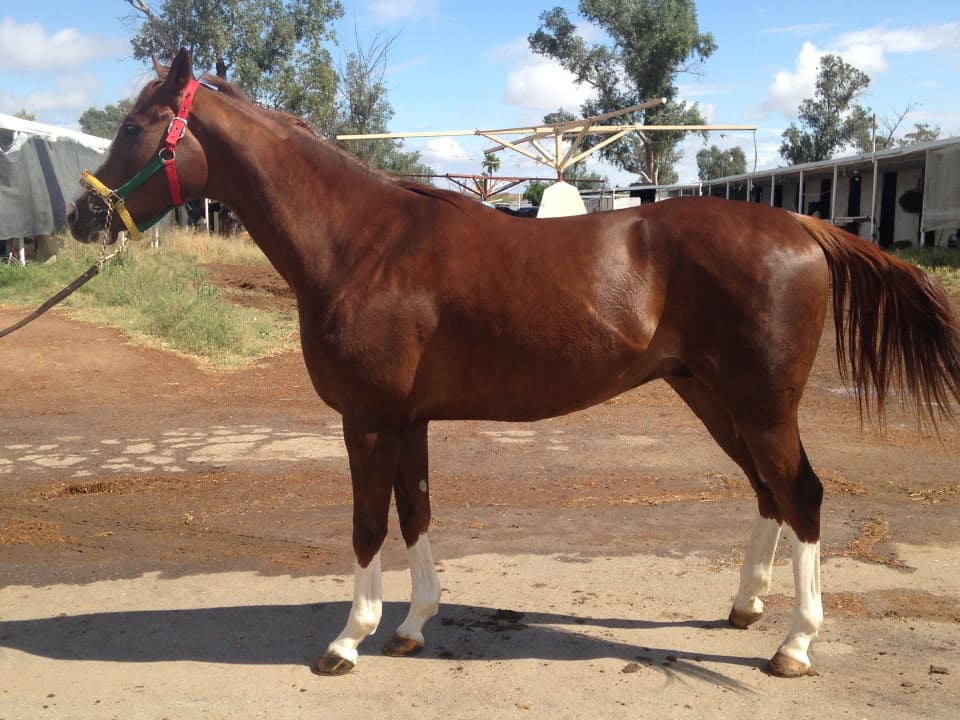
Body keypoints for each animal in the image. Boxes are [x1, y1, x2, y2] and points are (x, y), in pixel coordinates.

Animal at [67, 49, 960, 678]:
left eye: (135, 126)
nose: (81, 216)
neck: (361, 243)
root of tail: (804, 229)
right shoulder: (408, 420)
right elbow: (416, 514)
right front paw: (413, 626)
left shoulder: (369, 419)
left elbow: (367, 524)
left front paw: (349, 641)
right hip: (715, 399)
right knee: (769, 492)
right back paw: (745, 608)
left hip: (761, 402)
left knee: (802, 494)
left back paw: (794, 645)